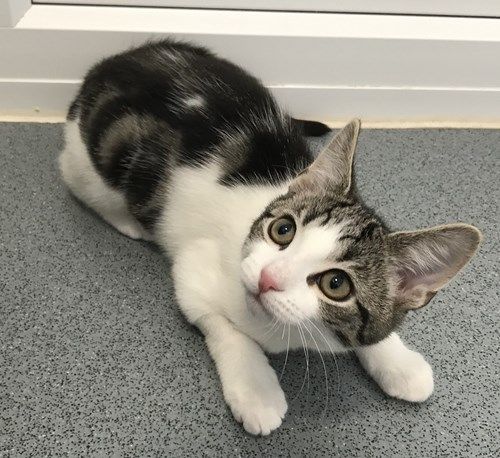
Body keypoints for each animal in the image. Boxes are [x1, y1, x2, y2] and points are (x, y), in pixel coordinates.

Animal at [58, 38, 480, 432]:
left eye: (337, 284)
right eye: (283, 230)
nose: (267, 278)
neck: (287, 332)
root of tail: (120, 58)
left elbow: (372, 335)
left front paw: (400, 363)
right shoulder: (194, 276)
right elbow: (224, 327)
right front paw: (256, 391)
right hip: (99, 161)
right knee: (73, 172)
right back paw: (125, 220)